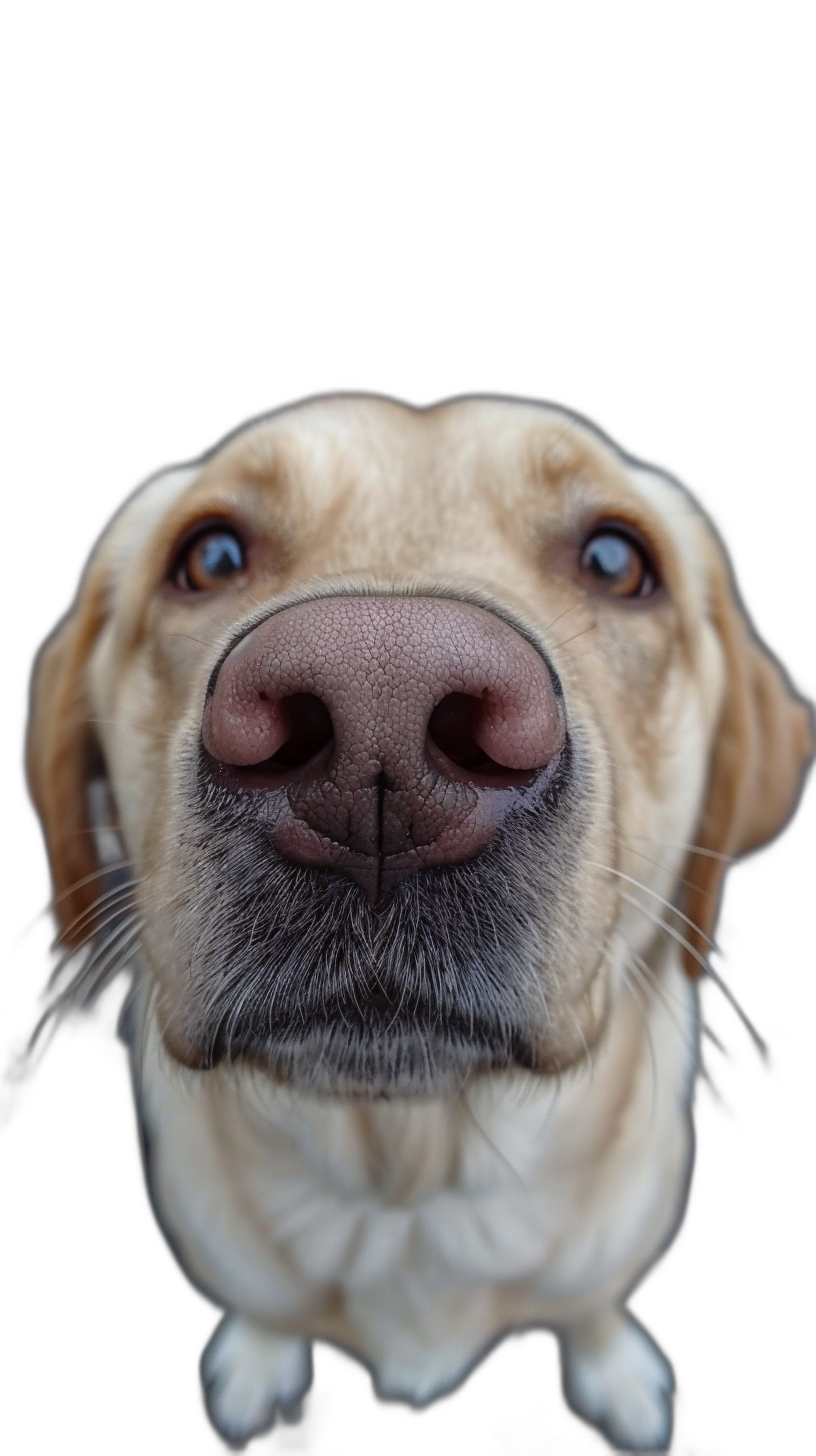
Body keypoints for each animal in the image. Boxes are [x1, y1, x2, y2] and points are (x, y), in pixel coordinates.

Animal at [25, 396, 810, 1444]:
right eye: (212, 556)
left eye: (615, 560)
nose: (380, 712)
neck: (408, 1189)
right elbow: (269, 1310)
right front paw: (258, 1363)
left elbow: (592, 1308)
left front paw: (617, 1375)